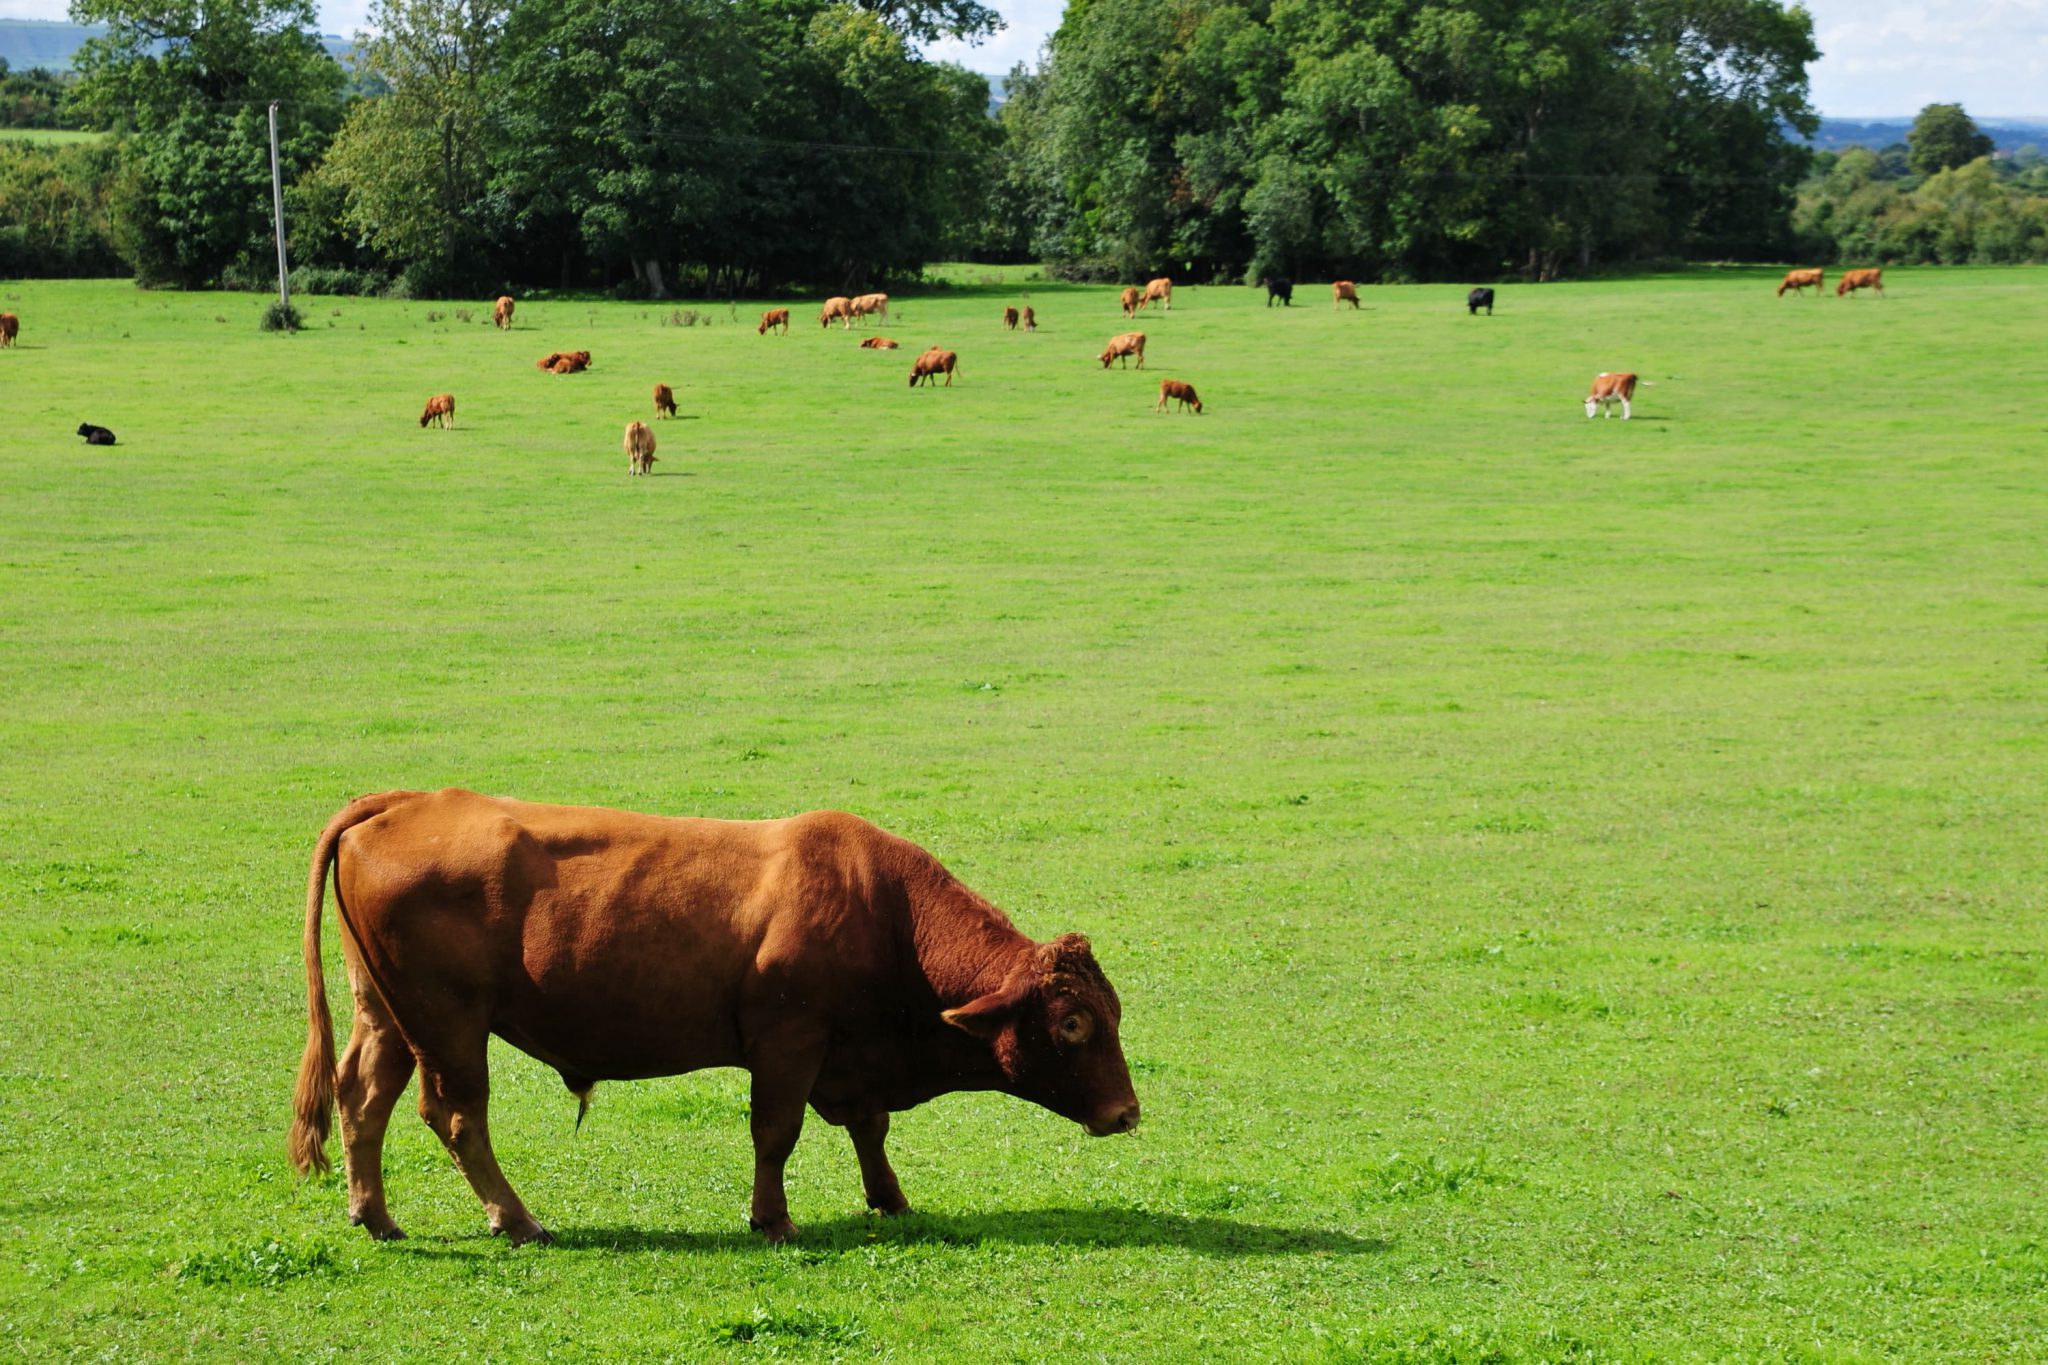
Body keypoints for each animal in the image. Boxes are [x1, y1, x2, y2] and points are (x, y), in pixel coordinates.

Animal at [288, 789, 1138, 1252]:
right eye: (1072, 1023)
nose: (1127, 1112)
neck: (885, 909)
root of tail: (408, 800)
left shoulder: (849, 1057)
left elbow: (870, 1128)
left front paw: (890, 1197)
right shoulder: (789, 1044)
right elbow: (777, 1133)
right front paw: (773, 1218)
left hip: (386, 1014)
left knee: (363, 1098)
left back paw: (376, 1214)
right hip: (449, 1024)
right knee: (458, 1114)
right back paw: (518, 1219)